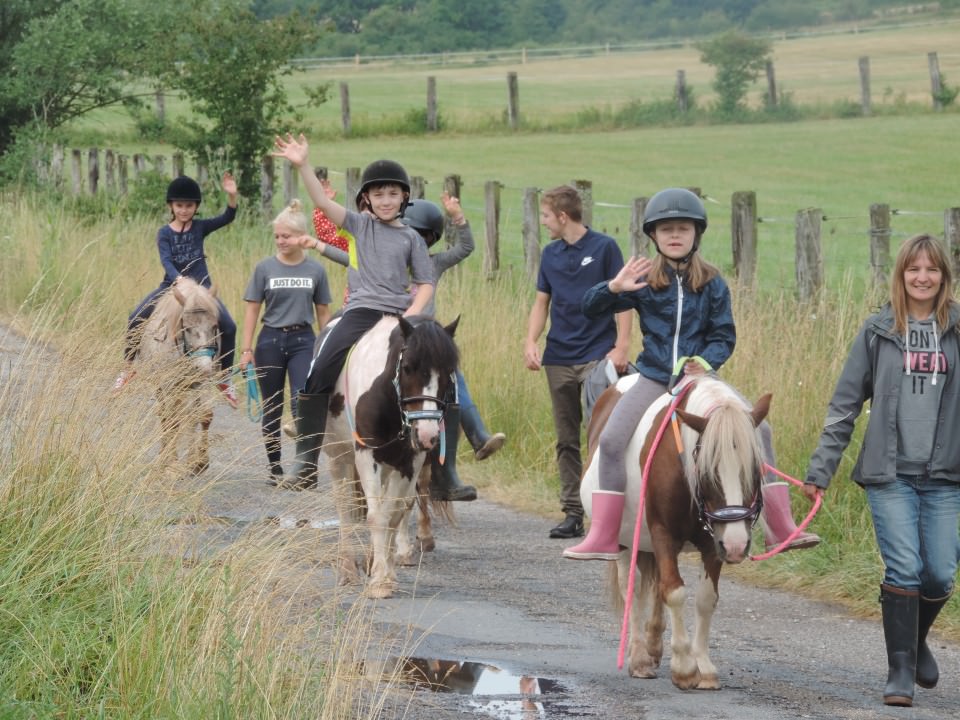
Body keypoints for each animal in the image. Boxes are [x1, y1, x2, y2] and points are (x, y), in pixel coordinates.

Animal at [134, 278, 220, 476]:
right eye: (187, 328)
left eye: (214, 326)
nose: (204, 368)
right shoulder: (169, 384)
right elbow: (173, 421)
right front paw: (172, 465)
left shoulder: (200, 383)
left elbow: (204, 416)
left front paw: (200, 463)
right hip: (164, 388)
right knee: (166, 416)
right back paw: (164, 458)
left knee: (189, 416)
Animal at [324, 316, 460, 600]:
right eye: (407, 368)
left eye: (449, 372)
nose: (428, 434)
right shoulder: (366, 456)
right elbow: (376, 515)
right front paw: (379, 582)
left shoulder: (410, 462)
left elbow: (394, 512)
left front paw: (383, 571)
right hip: (338, 455)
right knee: (345, 507)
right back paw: (347, 569)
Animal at [576, 374, 772, 688]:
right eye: (707, 472)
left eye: (755, 470)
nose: (736, 546)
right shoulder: (664, 534)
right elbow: (675, 592)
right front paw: (684, 667)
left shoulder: (712, 541)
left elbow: (705, 599)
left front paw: (703, 666)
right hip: (624, 541)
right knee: (633, 587)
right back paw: (640, 658)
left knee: (656, 586)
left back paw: (654, 646)